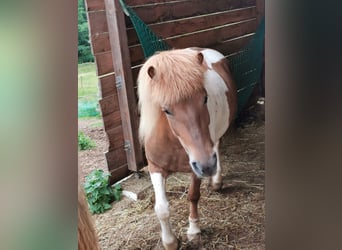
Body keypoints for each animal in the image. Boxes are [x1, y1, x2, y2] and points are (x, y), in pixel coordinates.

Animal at [138, 47, 236, 249]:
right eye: (166, 109)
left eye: (205, 98)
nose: (207, 166)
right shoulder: (155, 167)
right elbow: (161, 208)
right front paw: (170, 241)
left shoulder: (196, 167)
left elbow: (193, 195)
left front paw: (194, 230)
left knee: (217, 146)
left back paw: (216, 180)